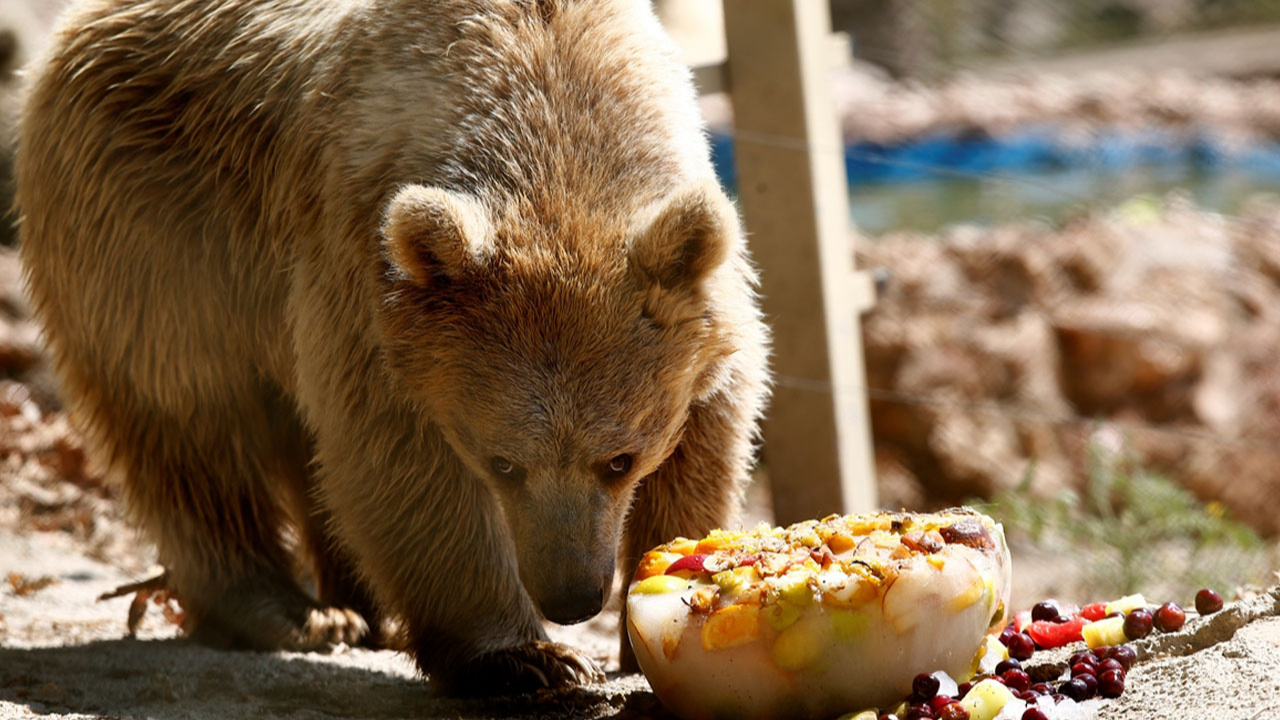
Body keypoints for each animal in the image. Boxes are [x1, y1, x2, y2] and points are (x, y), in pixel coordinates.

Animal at [15, 0, 768, 691]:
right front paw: (529, 659)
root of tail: (73, 30)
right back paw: (286, 610)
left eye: (620, 459)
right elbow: (398, 459)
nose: (573, 598)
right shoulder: (368, 285)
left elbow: (709, 435)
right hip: (154, 229)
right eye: (502, 463)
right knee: (188, 415)